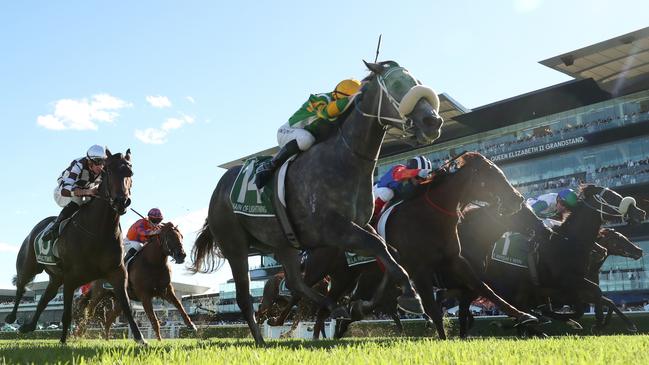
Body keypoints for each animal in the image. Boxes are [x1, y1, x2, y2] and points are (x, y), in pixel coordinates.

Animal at [5, 149, 143, 342]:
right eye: (108, 171)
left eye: (130, 172)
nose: (121, 201)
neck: (99, 231)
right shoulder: (71, 278)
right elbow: (66, 314)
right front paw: (63, 342)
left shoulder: (117, 272)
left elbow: (126, 305)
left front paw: (140, 339)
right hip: (29, 266)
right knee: (20, 288)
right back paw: (11, 317)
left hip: (56, 277)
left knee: (44, 298)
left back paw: (28, 326)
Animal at [190, 59, 442, 342]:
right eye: (397, 84)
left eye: (417, 81)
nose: (433, 121)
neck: (346, 159)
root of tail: (219, 188)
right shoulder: (332, 229)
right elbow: (376, 246)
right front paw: (410, 297)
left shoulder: (359, 224)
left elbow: (389, 251)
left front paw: (371, 302)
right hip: (235, 244)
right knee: (245, 297)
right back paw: (262, 339)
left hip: (283, 243)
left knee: (295, 282)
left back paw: (330, 308)